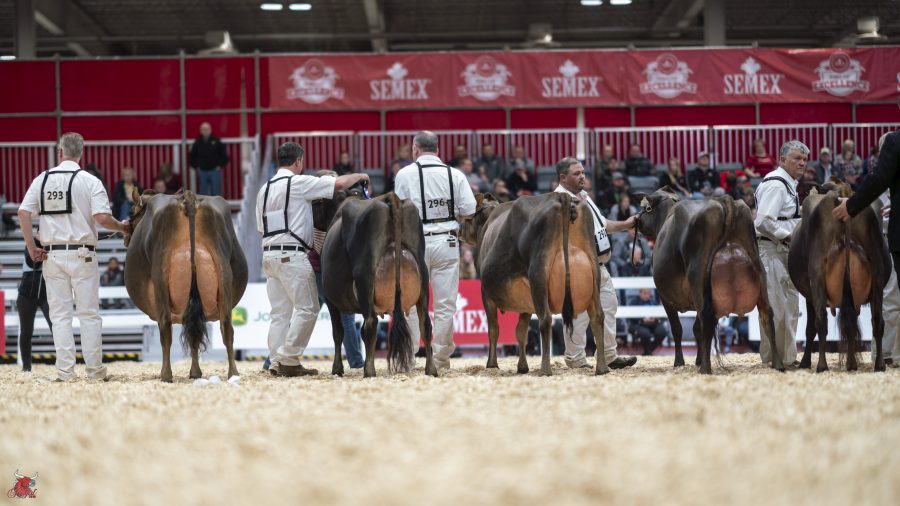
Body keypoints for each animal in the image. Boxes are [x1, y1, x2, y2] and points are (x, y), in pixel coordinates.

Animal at [124, 189, 248, 382]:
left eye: (131, 212)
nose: (125, 237)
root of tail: (189, 197)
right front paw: (195, 373)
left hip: (161, 275)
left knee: (165, 328)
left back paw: (165, 375)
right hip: (223, 272)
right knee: (225, 327)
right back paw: (233, 373)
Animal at [321, 191, 435, 377]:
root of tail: (389, 197)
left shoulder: (330, 299)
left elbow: (338, 332)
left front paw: (337, 368)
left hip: (365, 277)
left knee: (370, 324)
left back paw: (369, 371)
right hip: (423, 275)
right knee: (425, 323)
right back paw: (431, 369)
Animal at [458, 192, 610, 376]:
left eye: (467, 216)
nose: (457, 230)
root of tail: (561, 196)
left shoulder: (485, 293)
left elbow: (494, 330)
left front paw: (492, 364)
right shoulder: (525, 298)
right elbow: (521, 331)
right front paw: (522, 366)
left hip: (538, 272)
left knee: (545, 319)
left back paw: (545, 369)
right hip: (593, 270)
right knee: (598, 316)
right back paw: (602, 367)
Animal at [634, 187, 782, 374]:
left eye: (645, 207)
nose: (637, 220)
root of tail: (723, 201)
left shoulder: (664, 297)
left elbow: (677, 328)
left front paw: (680, 361)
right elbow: (696, 329)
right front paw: (697, 359)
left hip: (698, 277)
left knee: (706, 316)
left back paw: (705, 368)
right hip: (758, 270)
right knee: (767, 313)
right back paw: (778, 364)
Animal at [788, 179, 891, 372]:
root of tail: (842, 192)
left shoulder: (809, 294)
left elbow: (809, 329)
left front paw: (805, 362)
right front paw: (851, 362)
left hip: (817, 273)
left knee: (821, 322)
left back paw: (822, 365)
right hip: (878, 272)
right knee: (876, 321)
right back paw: (877, 365)